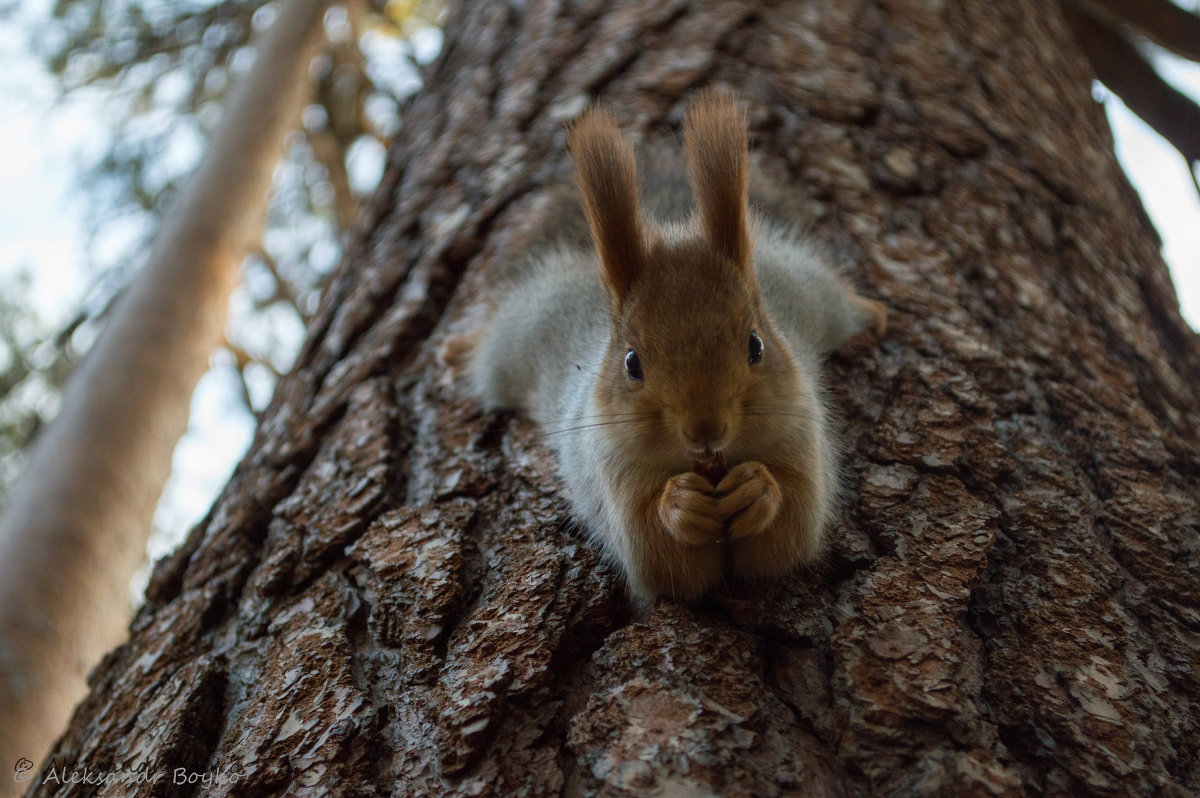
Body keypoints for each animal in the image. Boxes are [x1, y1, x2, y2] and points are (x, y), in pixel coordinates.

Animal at [453, 90, 888, 600]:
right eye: (631, 363)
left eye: (756, 345)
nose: (706, 430)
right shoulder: (613, 471)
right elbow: (658, 555)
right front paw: (681, 506)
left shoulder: (801, 434)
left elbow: (792, 526)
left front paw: (756, 490)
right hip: (516, 339)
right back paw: (458, 347)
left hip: (810, 288)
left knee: (838, 298)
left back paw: (873, 311)